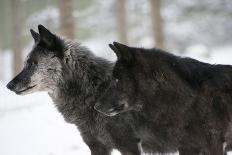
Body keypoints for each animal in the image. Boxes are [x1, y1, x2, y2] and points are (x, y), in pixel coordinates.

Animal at [6, 25, 141, 155]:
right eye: (25, 63)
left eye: (32, 64)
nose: (8, 85)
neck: (93, 90)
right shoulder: (97, 146)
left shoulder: (129, 146)